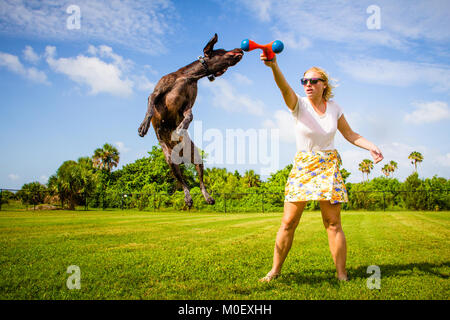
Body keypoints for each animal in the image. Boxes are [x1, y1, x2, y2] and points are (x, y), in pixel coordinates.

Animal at [138, 34, 243, 208]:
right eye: (222, 50)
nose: (240, 48)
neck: (189, 77)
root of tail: (181, 157)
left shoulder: (187, 105)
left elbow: (190, 116)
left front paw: (181, 127)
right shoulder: (156, 93)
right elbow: (151, 107)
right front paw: (144, 126)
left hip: (197, 157)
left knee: (200, 182)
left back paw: (207, 197)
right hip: (170, 160)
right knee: (183, 182)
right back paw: (188, 198)